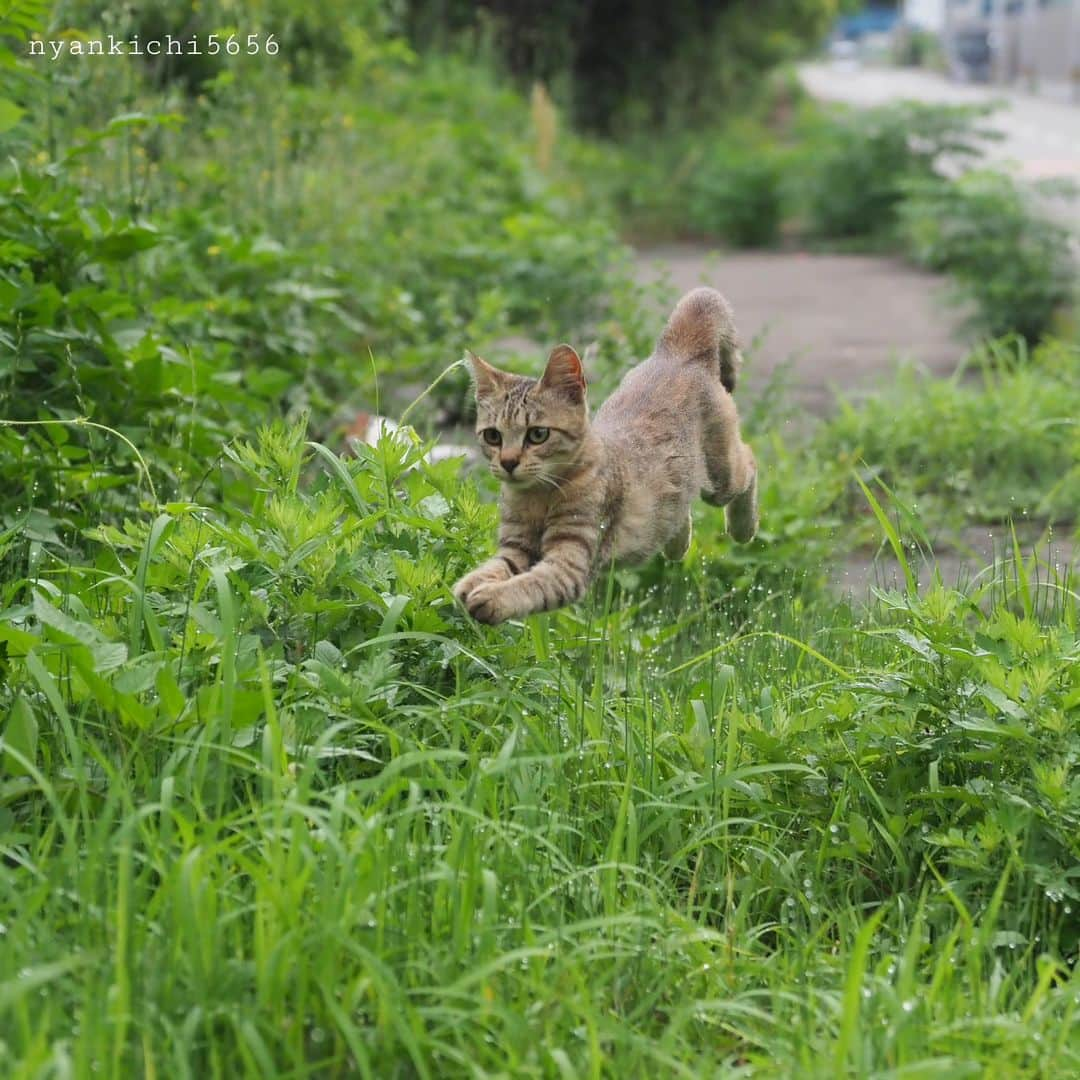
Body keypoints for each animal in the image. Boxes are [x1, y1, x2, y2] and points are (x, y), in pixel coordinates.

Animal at [451, 287, 756, 626]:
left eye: (538, 434)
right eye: (493, 436)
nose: (507, 462)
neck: (539, 496)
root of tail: (677, 353)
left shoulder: (570, 563)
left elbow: (530, 585)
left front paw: (492, 597)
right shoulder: (516, 548)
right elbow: (494, 568)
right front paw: (469, 585)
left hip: (721, 477)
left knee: (749, 461)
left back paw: (744, 528)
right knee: (677, 508)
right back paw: (678, 542)